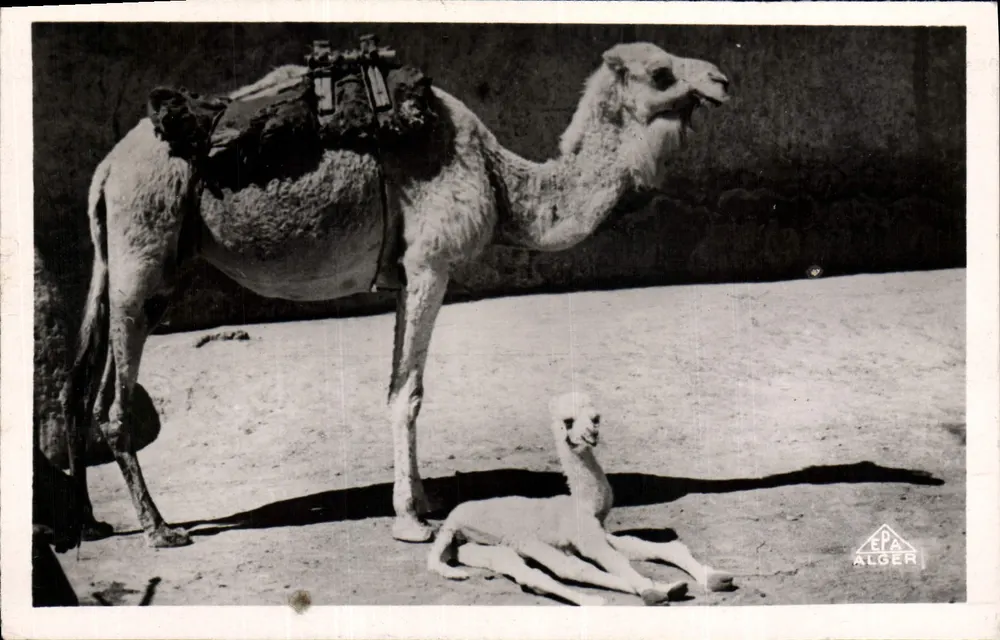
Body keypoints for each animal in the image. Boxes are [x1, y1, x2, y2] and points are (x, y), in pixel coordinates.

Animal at [69, 41, 731, 548]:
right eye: (661, 73)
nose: (721, 80)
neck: (499, 180)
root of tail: (105, 170)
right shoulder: (430, 264)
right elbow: (407, 395)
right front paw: (411, 519)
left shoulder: (403, 277)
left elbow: (396, 386)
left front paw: (422, 496)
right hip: (141, 246)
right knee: (114, 406)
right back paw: (158, 530)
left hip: (148, 269)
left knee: (85, 389)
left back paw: (93, 523)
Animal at [427, 391, 733, 606]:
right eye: (568, 421)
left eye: (596, 418)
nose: (591, 434)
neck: (583, 504)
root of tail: (450, 521)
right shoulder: (584, 537)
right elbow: (614, 563)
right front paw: (652, 589)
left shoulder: (596, 532)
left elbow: (657, 547)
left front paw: (715, 578)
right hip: (509, 542)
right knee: (554, 571)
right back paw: (607, 599)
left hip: (475, 549)